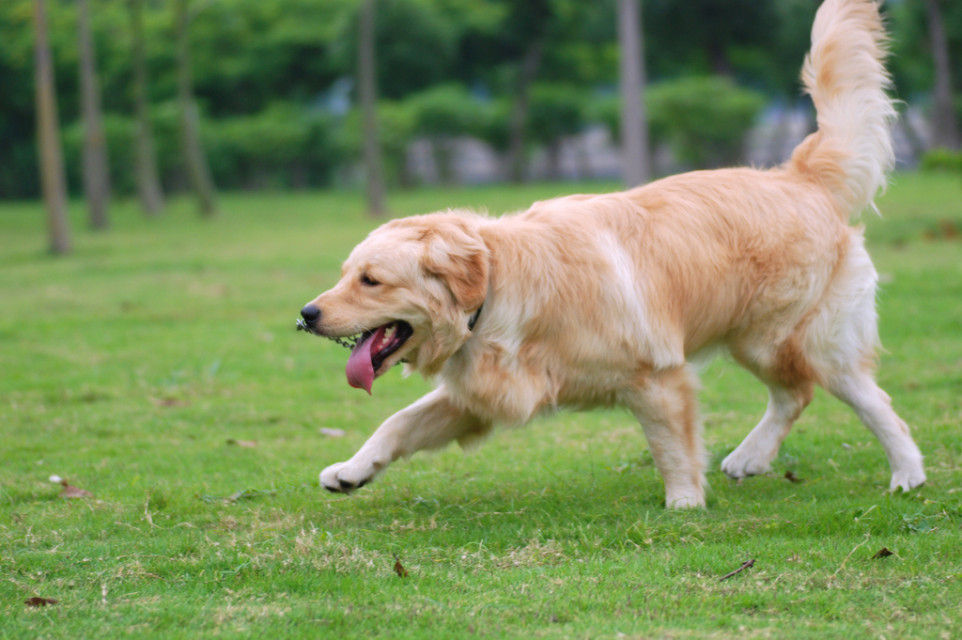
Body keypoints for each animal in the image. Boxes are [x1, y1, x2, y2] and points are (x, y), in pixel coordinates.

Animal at [298, 1, 924, 510]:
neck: (499, 290)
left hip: (791, 335)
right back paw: (751, 457)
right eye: (345, 275)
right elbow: (398, 422)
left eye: (371, 280)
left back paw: (906, 474)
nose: (306, 314)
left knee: (865, 398)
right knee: (795, 393)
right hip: (758, 339)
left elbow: (670, 445)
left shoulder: (657, 374)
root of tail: (799, 175)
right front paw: (351, 470)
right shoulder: (481, 395)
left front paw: (684, 503)